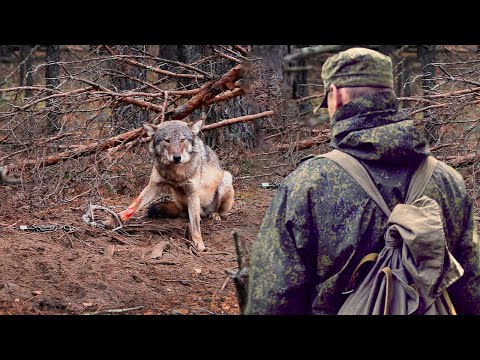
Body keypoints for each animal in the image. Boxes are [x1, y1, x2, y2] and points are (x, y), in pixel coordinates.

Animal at [111, 119, 234, 252]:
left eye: (182, 140)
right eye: (167, 140)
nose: (177, 157)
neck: (176, 172)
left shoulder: (193, 193)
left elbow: (196, 226)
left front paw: (199, 244)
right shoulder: (153, 185)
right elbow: (134, 205)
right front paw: (116, 219)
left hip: (226, 179)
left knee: (216, 212)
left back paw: (214, 214)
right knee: (187, 213)